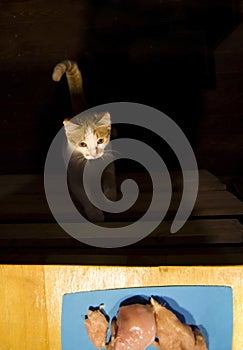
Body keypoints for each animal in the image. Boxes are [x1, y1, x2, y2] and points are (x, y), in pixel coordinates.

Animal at [51, 58, 116, 220]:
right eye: (82, 144)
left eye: (100, 141)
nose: (94, 153)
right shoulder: (74, 177)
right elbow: (83, 194)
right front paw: (94, 212)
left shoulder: (108, 160)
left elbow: (110, 180)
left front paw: (109, 197)